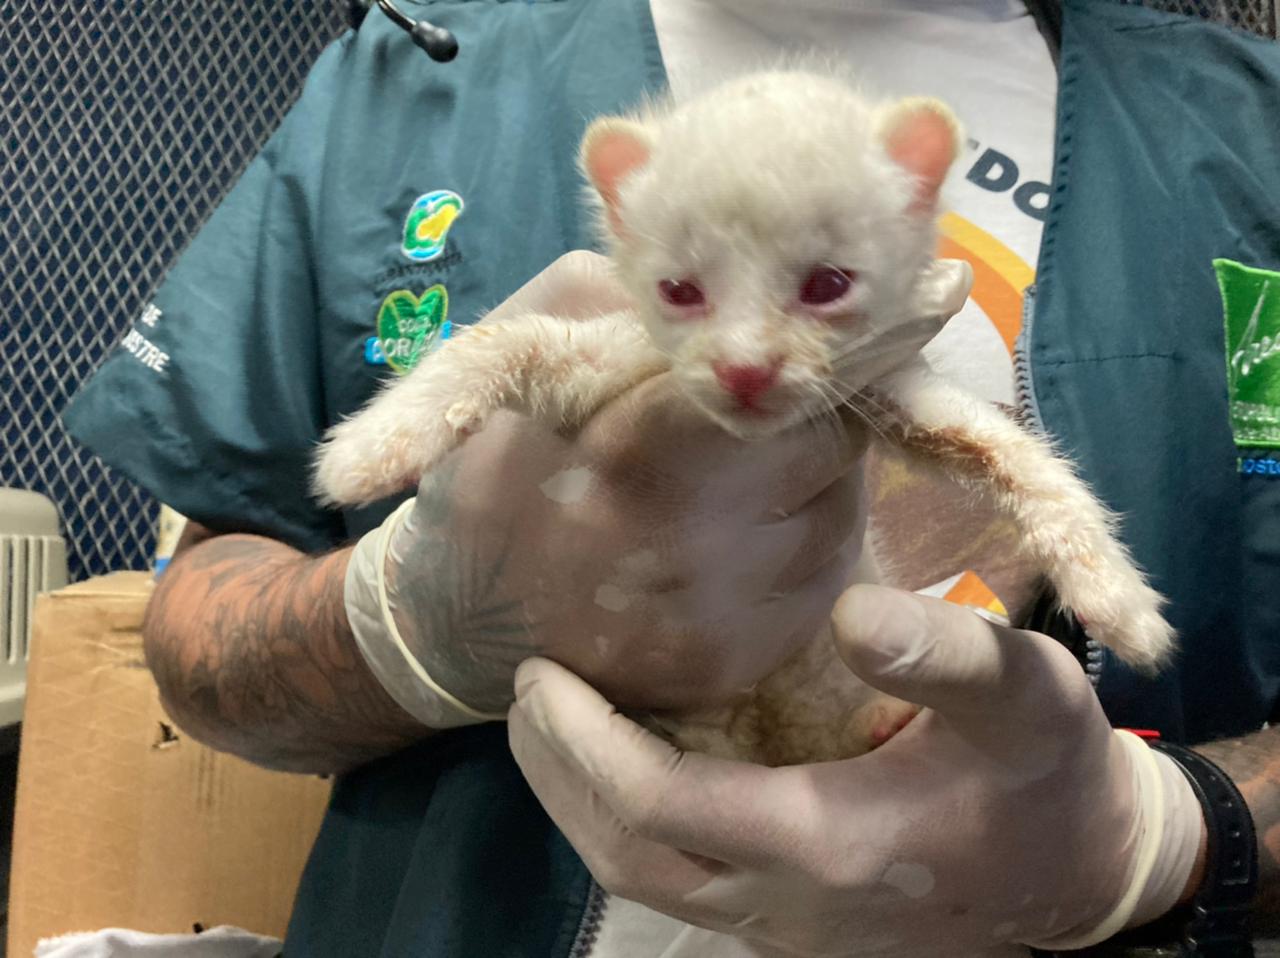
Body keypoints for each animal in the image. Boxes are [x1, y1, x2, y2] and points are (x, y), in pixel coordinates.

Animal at [314, 71, 1172, 768]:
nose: (745, 369)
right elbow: (504, 340)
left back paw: (885, 725)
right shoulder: (605, 363)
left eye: (827, 284)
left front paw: (1118, 600)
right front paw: (375, 444)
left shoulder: (884, 386)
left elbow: (1015, 455)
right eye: (680, 289)